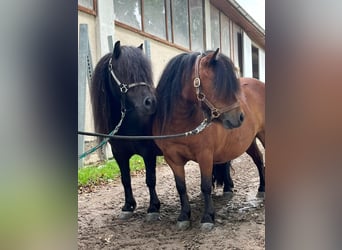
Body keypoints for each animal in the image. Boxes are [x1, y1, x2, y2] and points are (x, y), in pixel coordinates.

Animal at [91, 41, 160, 221]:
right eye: (126, 71)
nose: (151, 103)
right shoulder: (119, 154)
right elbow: (125, 179)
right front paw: (128, 206)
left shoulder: (148, 152)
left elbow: (150, 179)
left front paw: (153, 207)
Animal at [154, 49, 266, 230]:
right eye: (218, 85)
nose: (240, 118)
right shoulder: (172, 158)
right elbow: (181, 187)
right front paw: (184, 216)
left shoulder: (205, 155)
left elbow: (205, 186)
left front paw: (207, 217)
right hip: (249, 141)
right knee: (258, 159)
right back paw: (262, 188)